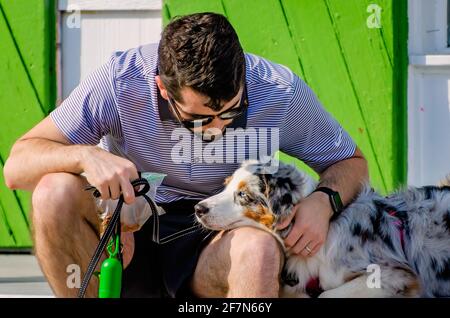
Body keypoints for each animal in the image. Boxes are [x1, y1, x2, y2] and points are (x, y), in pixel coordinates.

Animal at [193, 161, 450, 298]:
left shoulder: (396, 275)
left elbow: (327, 293)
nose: (198, 208)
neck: (327, 231)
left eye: (243, 195)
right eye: (226, 186)